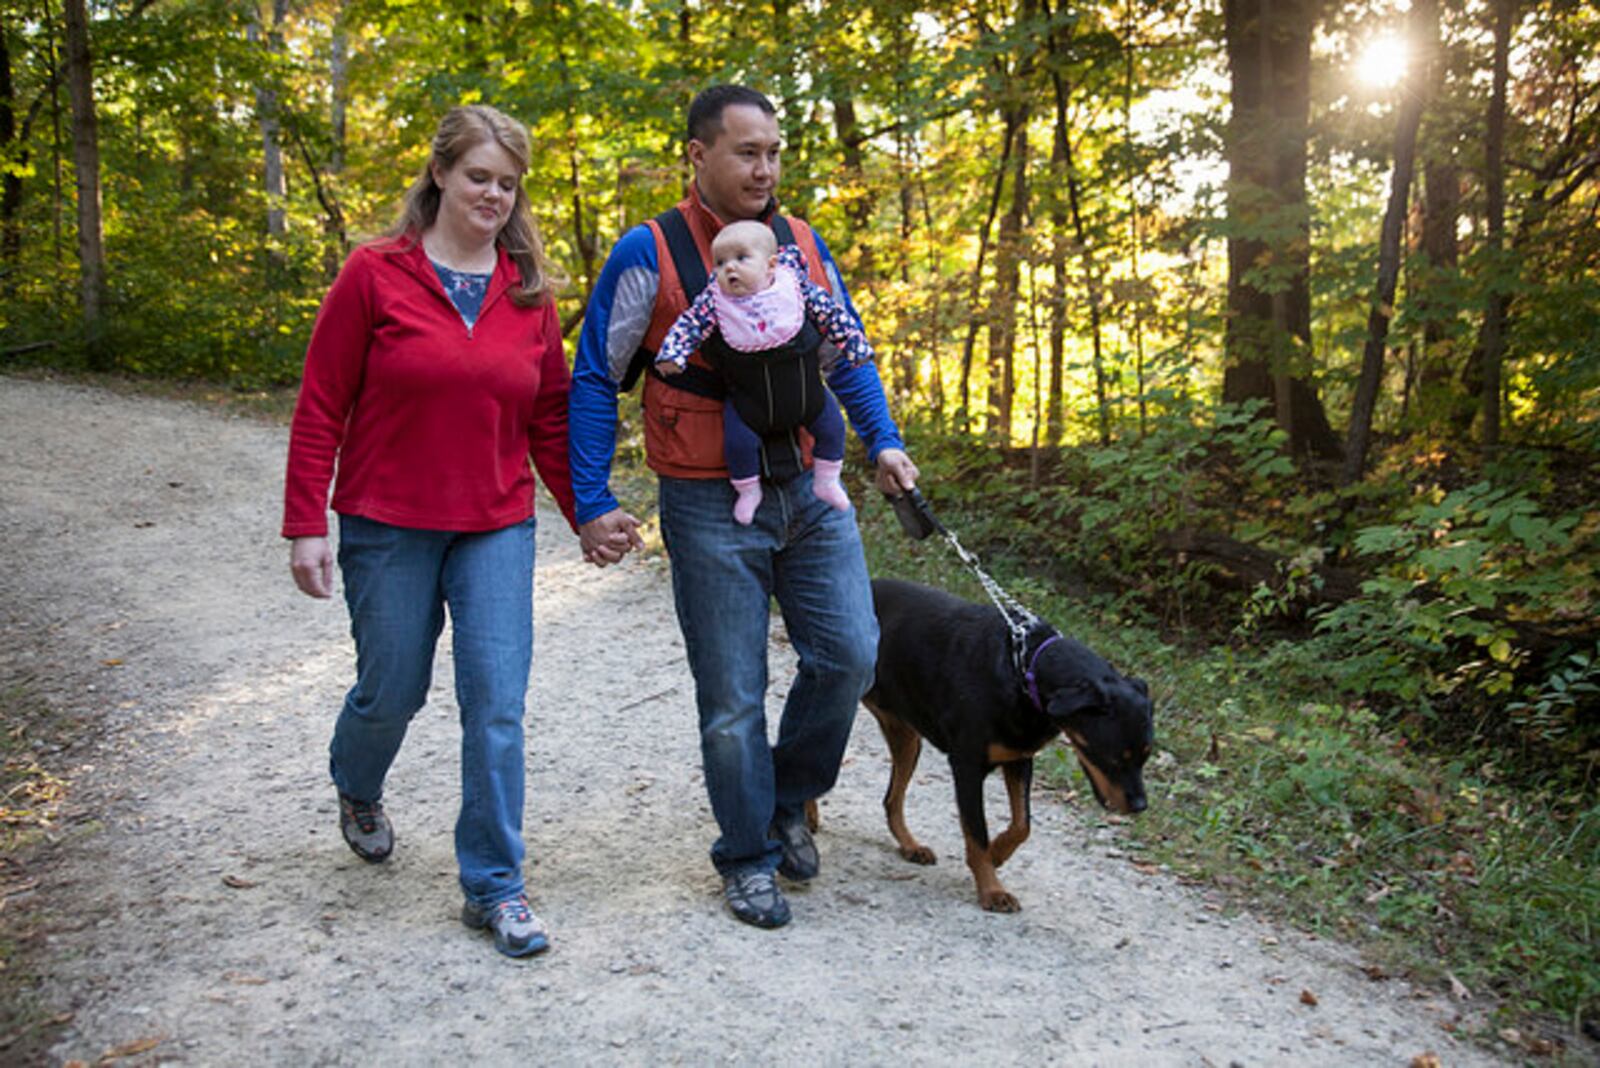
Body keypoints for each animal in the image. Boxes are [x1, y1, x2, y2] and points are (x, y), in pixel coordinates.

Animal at [857, 575, 1145, 908]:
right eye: (1115, 757)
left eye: (1145, 756)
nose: (1140, 805)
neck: (1023, 670)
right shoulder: (967, 766)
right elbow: (977, 831)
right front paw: (992, 890)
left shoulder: (1018, 757)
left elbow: (1022, 824)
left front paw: (997, 853)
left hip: (905, 737)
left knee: (892, 799)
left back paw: (910, 845)